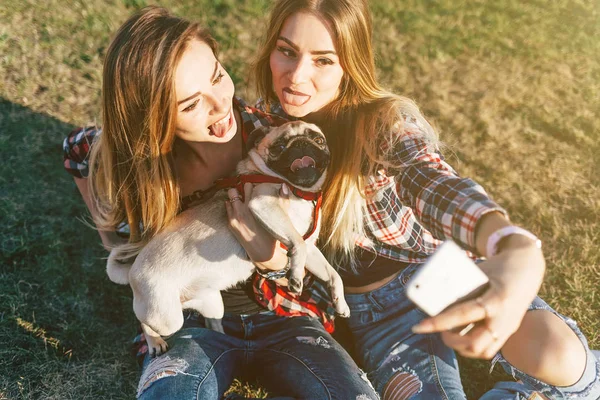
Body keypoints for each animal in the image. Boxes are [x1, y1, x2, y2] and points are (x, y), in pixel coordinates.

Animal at [107, 121, 350, 356]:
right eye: (280, 146)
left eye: (318, 140)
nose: (301, 144)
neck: (297, 190)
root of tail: (132, 271)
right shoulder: (264, 205)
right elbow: (297, 244)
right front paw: (296, 278)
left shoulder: (310, 249)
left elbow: (333, 275)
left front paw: (340, 303)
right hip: (166, 316)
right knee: (145, 322)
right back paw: (154, 342)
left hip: (211, 302)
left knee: (211, 321)